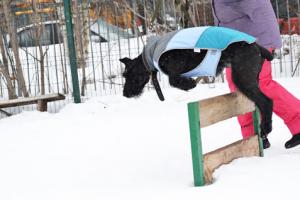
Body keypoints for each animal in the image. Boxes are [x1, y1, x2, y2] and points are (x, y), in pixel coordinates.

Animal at [119, 26, 274, 139]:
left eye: (127, 75)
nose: (125, 94)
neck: (149, 57)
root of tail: (257, 46)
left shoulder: (176, 65)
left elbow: (173, 80)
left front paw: (189, 84)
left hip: (242, 78)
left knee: (267, 102)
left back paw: (265, 128)